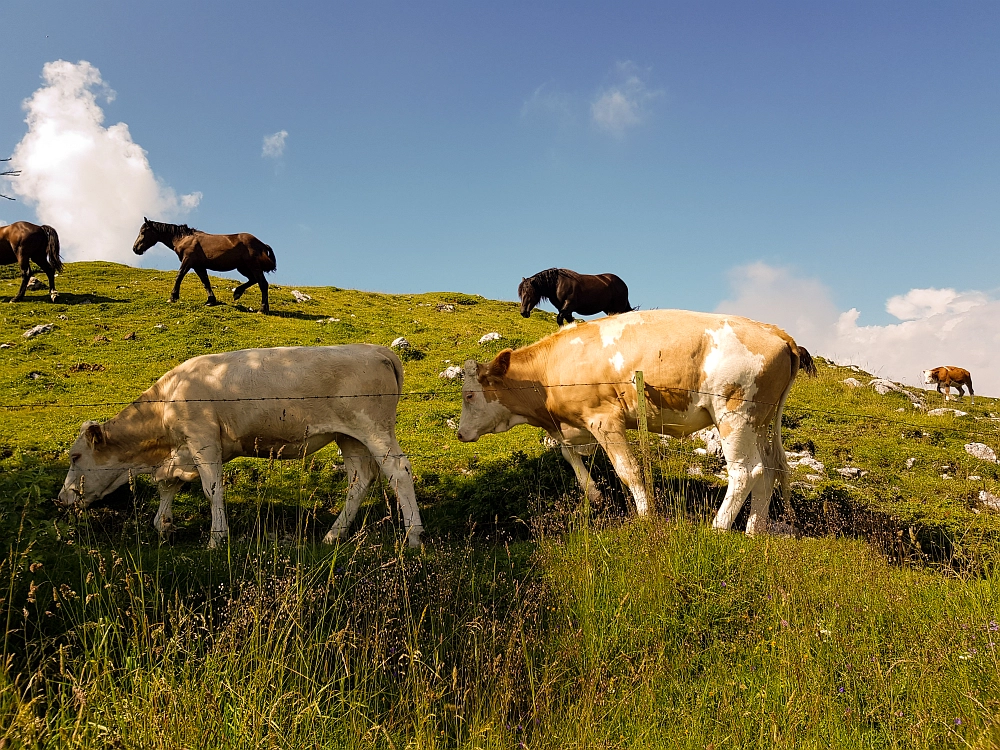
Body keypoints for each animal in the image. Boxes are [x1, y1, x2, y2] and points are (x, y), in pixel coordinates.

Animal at [57, 344, 426, 548]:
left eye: (75, 456)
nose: (60, 498)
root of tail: (377, 349)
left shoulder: (202, 439)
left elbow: (212, 490)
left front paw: (216, 538)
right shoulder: (182, 451)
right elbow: (169, 483)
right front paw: (164, 525)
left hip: (373, 427)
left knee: (398, 471)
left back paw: (414, 537)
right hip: (348, 436)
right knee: (360, 479)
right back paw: (333, 536)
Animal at [132, 219, 278, 312]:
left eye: (143, 232)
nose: (135, 248)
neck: (184, 238)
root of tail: (262, 244)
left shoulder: (187, 261)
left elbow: (179, 276)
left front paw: (173, 297)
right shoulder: (198, 266)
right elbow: (205, 282)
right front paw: (211, 300)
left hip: (253, 266)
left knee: (263, 284)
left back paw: (262, 309)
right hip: (243, 267)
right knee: (253, 280)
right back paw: (237, 293)